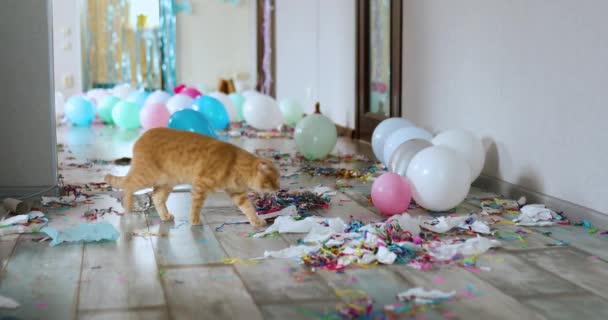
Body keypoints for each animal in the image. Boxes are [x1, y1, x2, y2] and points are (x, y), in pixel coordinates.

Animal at [104, 126, 280, 226]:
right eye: (273, 180)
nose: (279, 188)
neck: (234, 162)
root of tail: (140, 137)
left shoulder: (237, 193)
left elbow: (248, 208)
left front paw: (256, 221)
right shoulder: (201, 185)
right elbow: (196, 206)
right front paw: (195, 221)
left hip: (166, 183)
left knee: (156, 197)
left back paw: (165, 216)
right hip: (146, 176)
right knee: (128, 185)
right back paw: (128, 207)